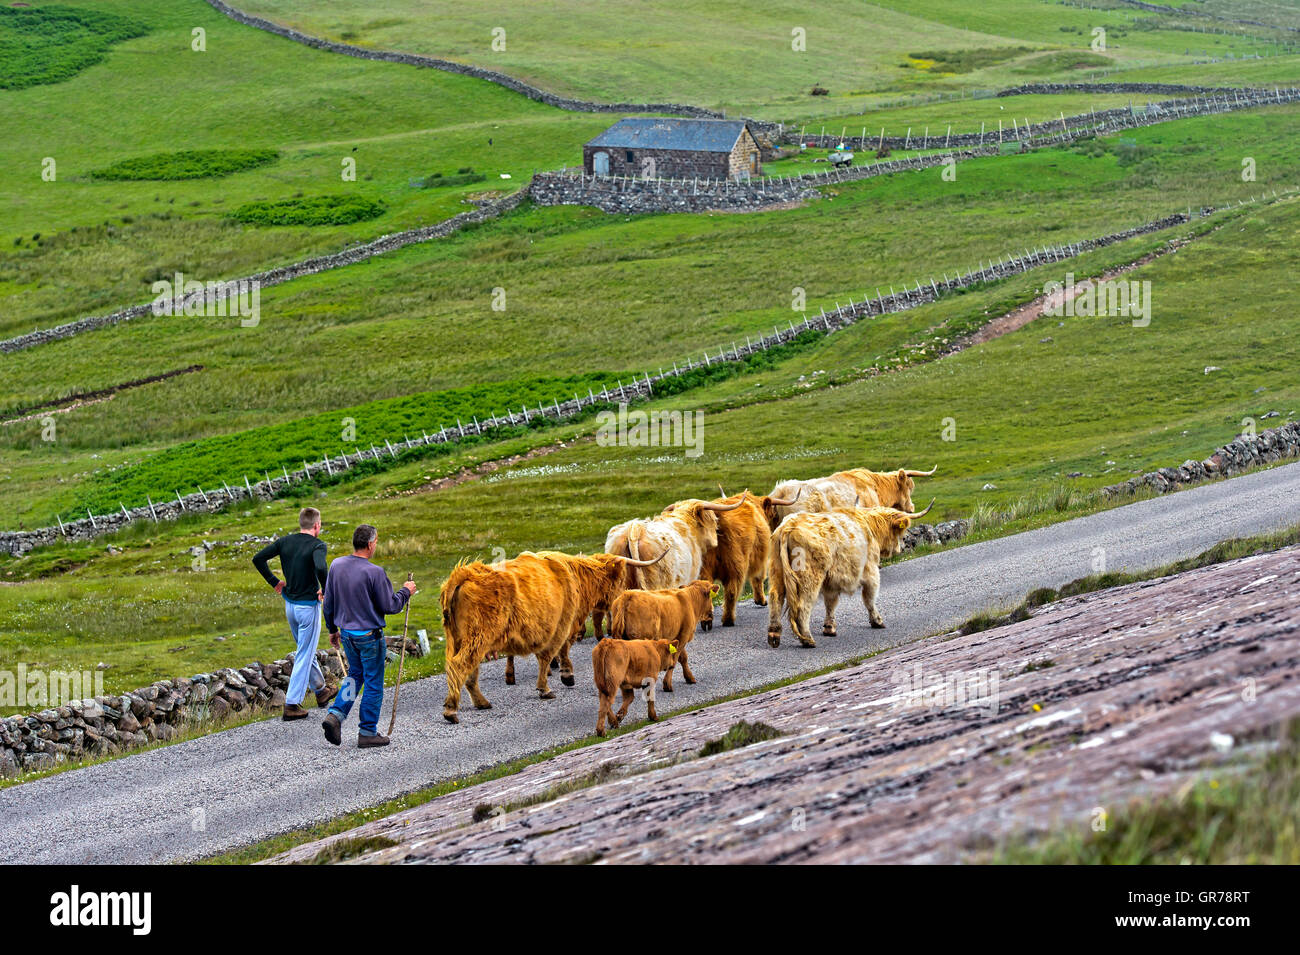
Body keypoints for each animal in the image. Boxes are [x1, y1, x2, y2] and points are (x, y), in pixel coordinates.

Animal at [439, 548, 660, 722]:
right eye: (621, 579)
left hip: (459, 638)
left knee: (468, 670)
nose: (623, 596)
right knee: (460, 665)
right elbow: (552, 654)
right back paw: (451, 710)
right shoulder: (562, 625)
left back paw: (481, 702)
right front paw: (557, 680)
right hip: (479, 636)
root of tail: (464, 573)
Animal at [764, 501, 930, 649]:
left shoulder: (831, 581)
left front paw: (829, 628)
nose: (901, 547)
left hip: (776, 572)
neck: (869, 527)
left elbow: (831, 603)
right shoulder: (870, 571)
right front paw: (877, 621)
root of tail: (789, 525)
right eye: (900, 533)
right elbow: (869, 598)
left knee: (776, 598)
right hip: (810, 578)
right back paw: (807, 639)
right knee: (803, 605)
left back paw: (774, 635)